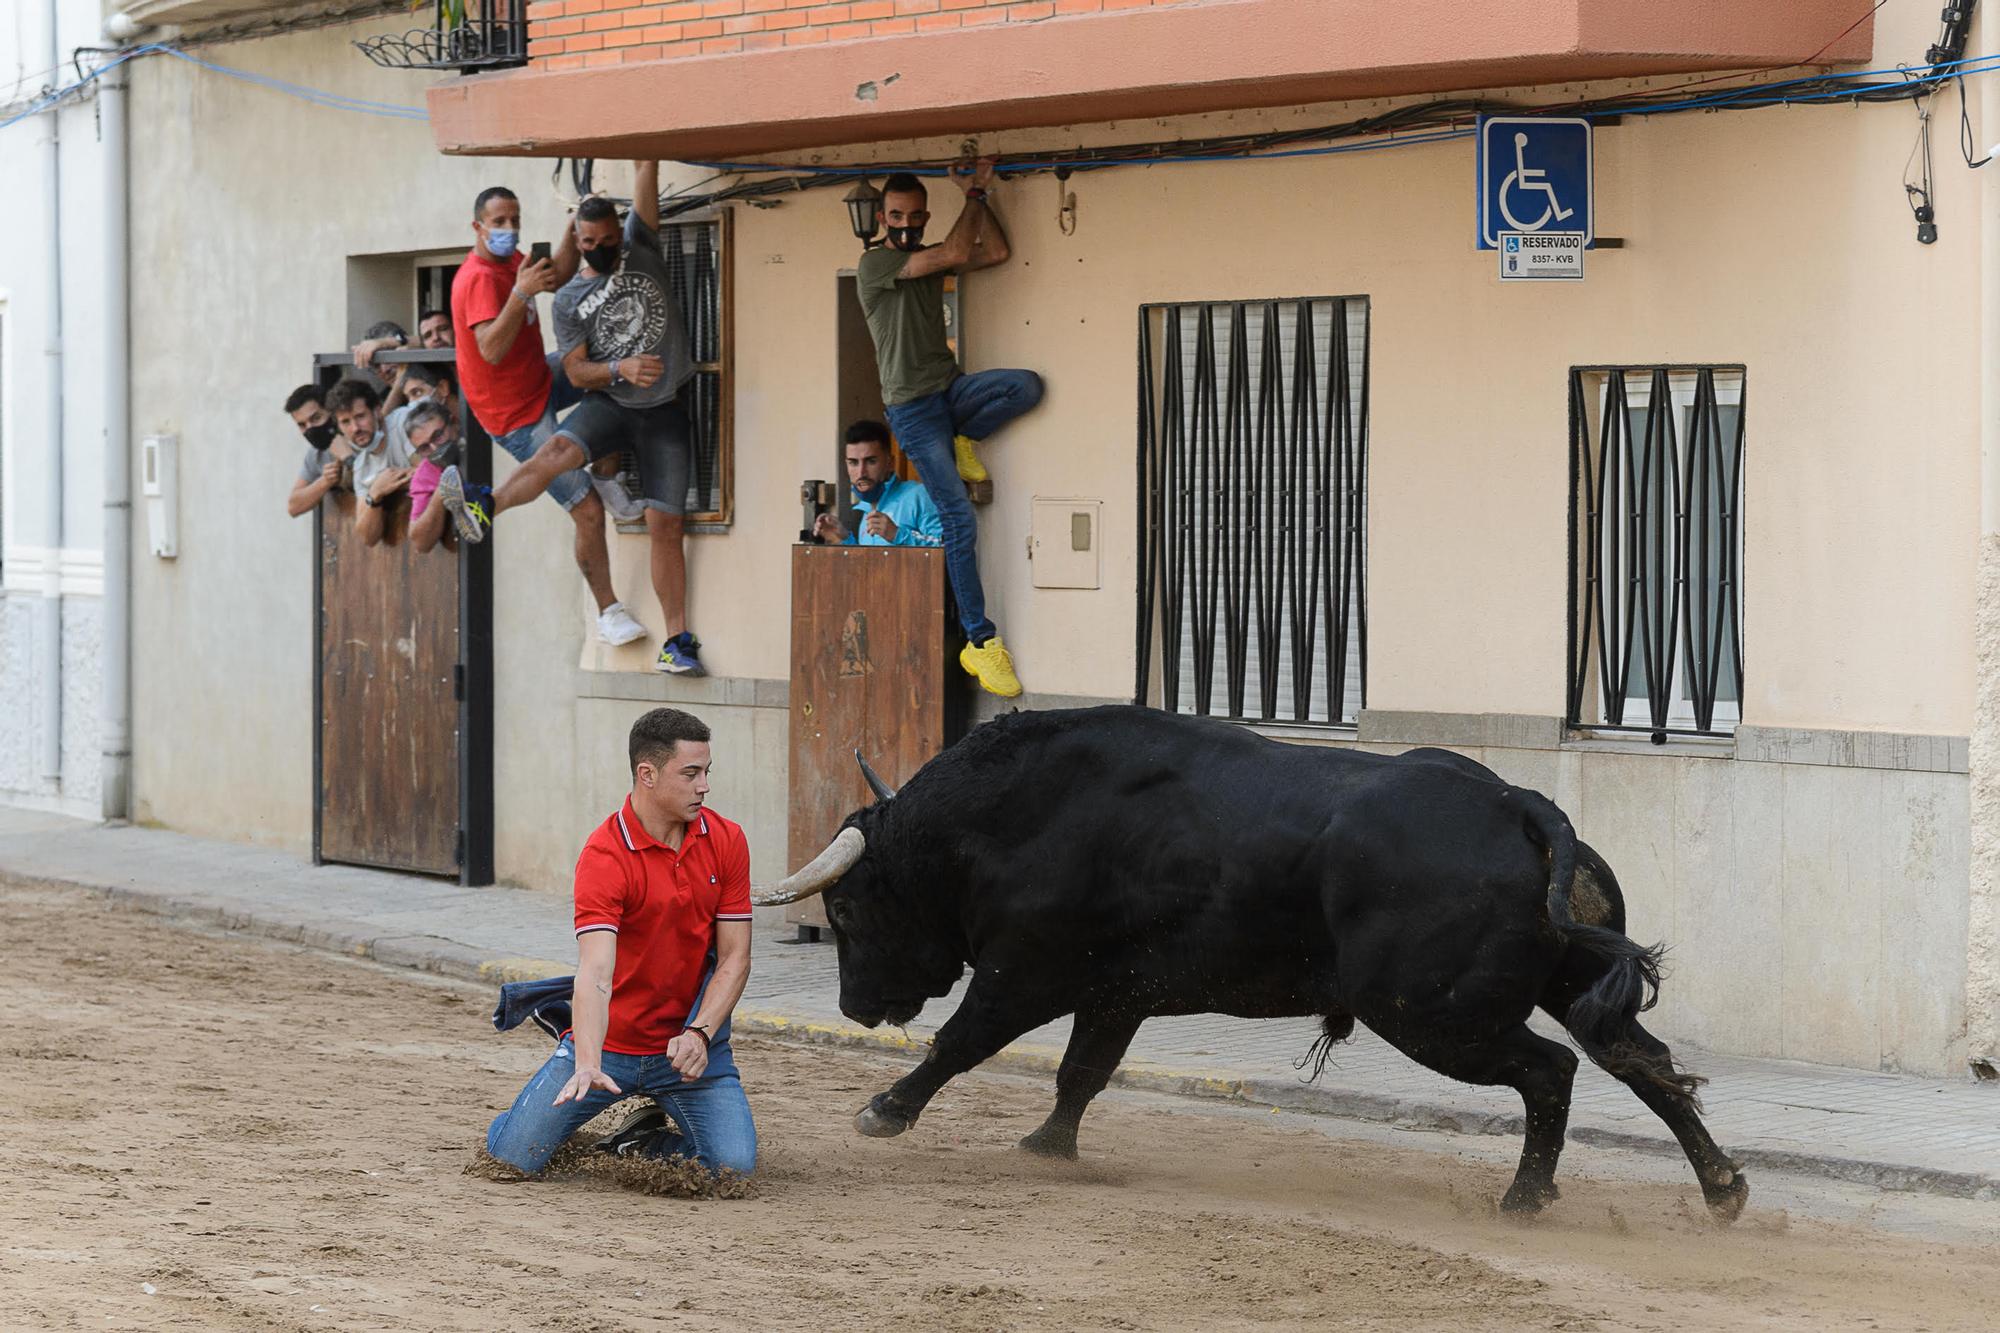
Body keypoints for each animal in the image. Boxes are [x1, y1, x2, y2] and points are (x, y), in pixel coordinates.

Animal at [772, 704, 1744, 1216]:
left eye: (847, 907)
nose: (855, 1006)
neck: (1005, 819)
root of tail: (1522, 804)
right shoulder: (1115, 991)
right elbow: (1081, 1072)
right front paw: (1047, 1148)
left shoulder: (1025, 973)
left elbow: (961, 1042)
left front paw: (883, 1110)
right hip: (1553, 991)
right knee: (1643, 1063)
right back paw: (1723, 1185)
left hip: (1433, 1014)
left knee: (1551, 1070)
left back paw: (1527, 1196)